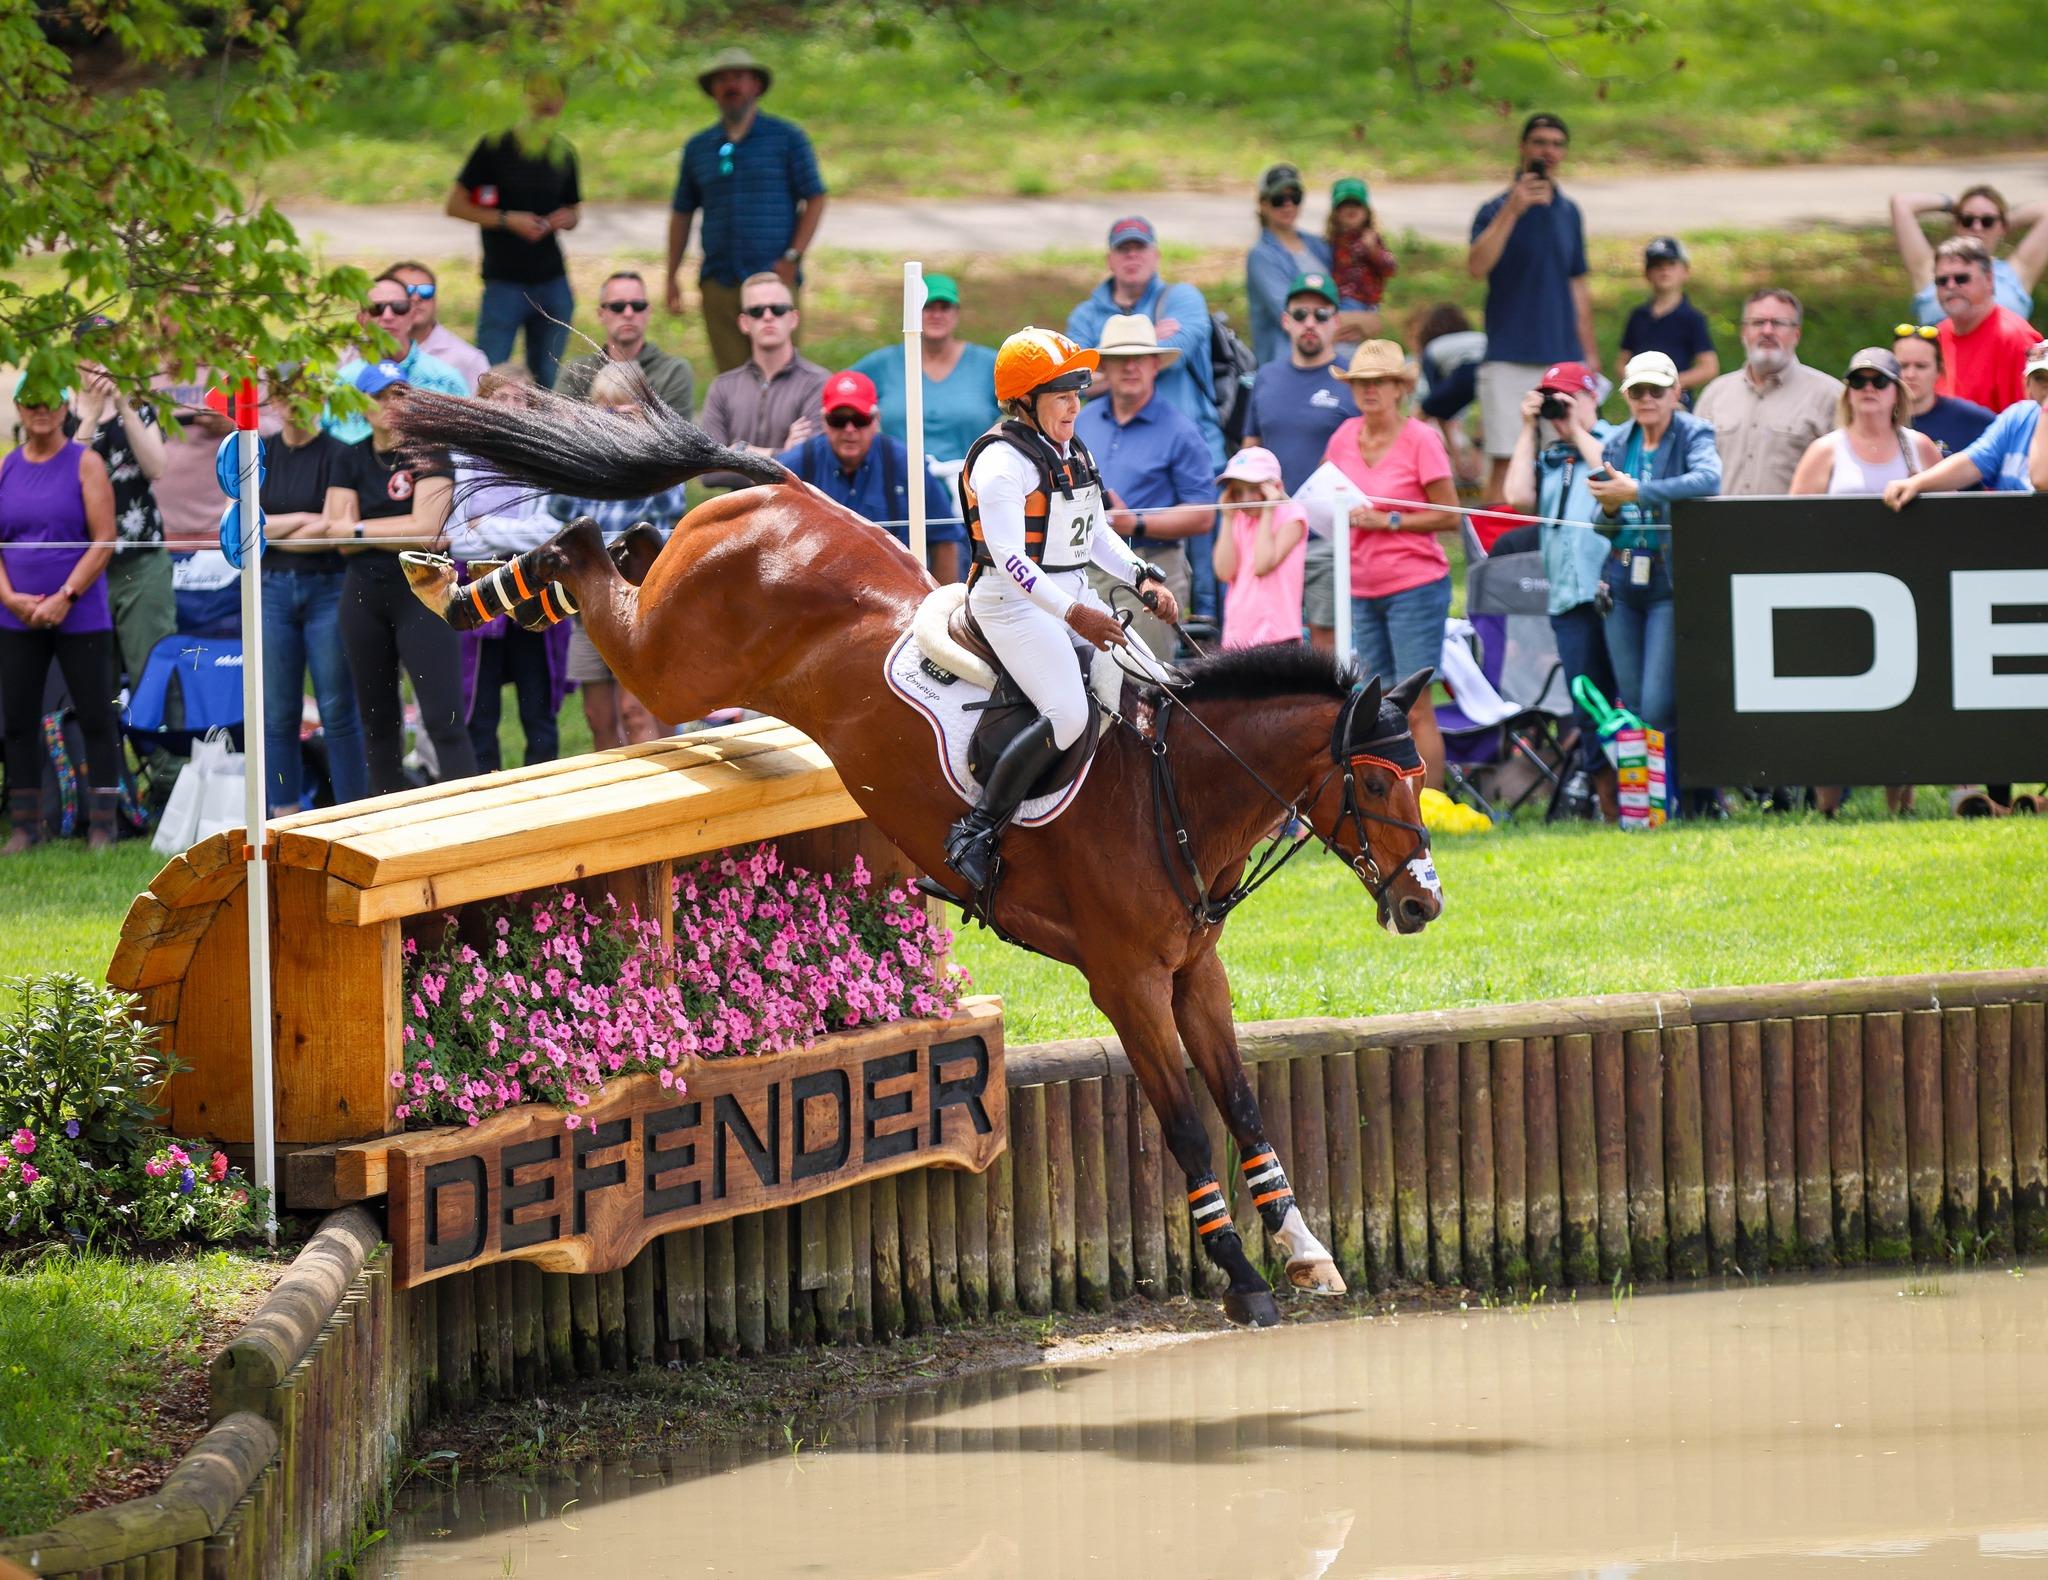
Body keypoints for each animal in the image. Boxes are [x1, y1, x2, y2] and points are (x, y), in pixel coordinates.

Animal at [387, 389, 1441, 1327]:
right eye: (1375, 782)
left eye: (1421, 776)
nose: (1425, 906)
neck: (1172, 788)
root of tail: (776, 492)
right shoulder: (1129, 983)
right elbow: (1184, 1120)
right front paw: (1243, 1277)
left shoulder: (1195, 972)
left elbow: (1245, 1105)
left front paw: (1305, 1249)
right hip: (670, 664)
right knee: (588, 557)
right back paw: (457, 586)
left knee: (629, 547)